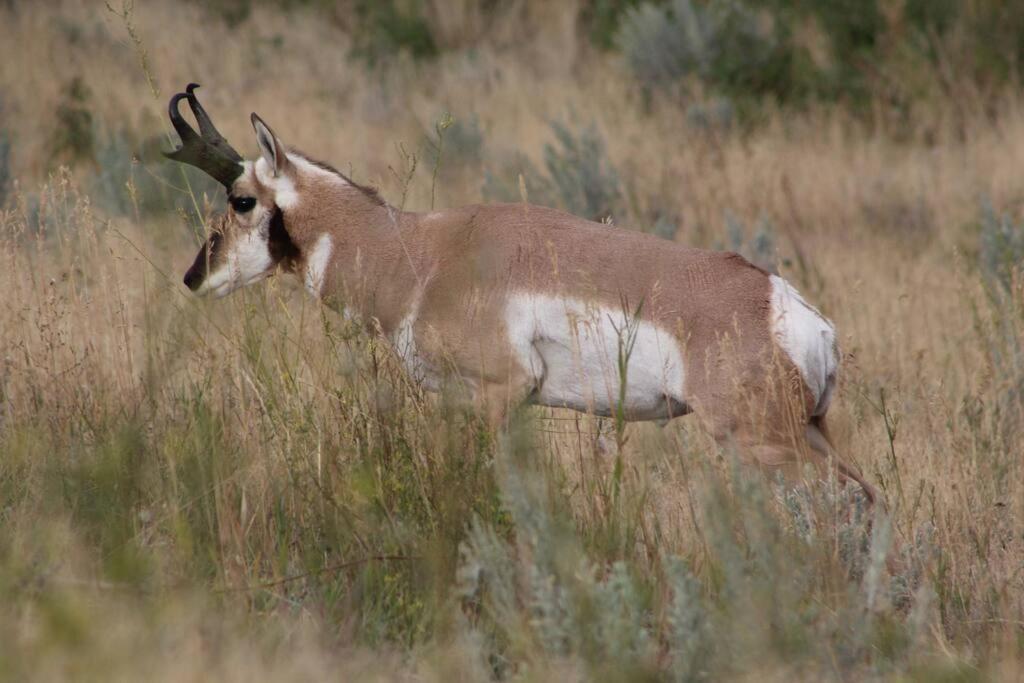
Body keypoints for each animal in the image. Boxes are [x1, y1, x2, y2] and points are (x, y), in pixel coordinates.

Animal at [163, 83, 876, 501]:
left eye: (242, 199)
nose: (194, 276)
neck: (422, 252)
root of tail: (794, 312)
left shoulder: (496, 397)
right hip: (807, 433)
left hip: (763, 442)